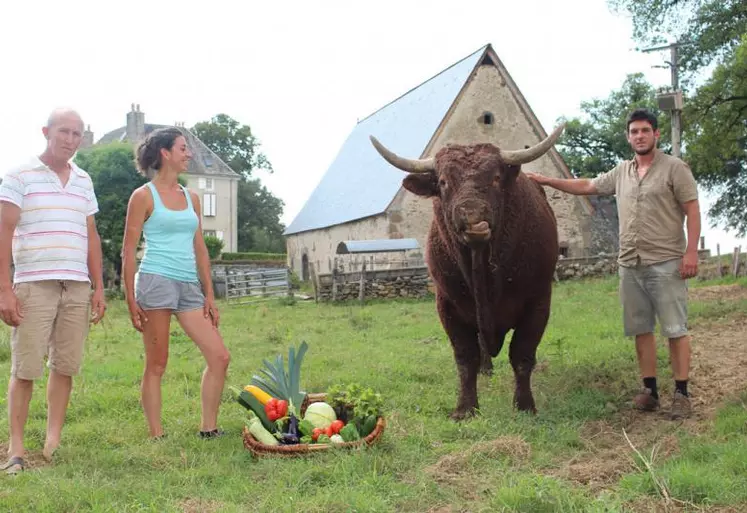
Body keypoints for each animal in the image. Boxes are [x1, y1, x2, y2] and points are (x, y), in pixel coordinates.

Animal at [372, 126, 564, 418]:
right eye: (442, 182)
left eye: (495, 178)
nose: (471, 214)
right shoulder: (447, 305)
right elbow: (465, 358)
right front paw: (465, 409)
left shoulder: (538, 300)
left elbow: (522, 354)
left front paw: (524, 405)